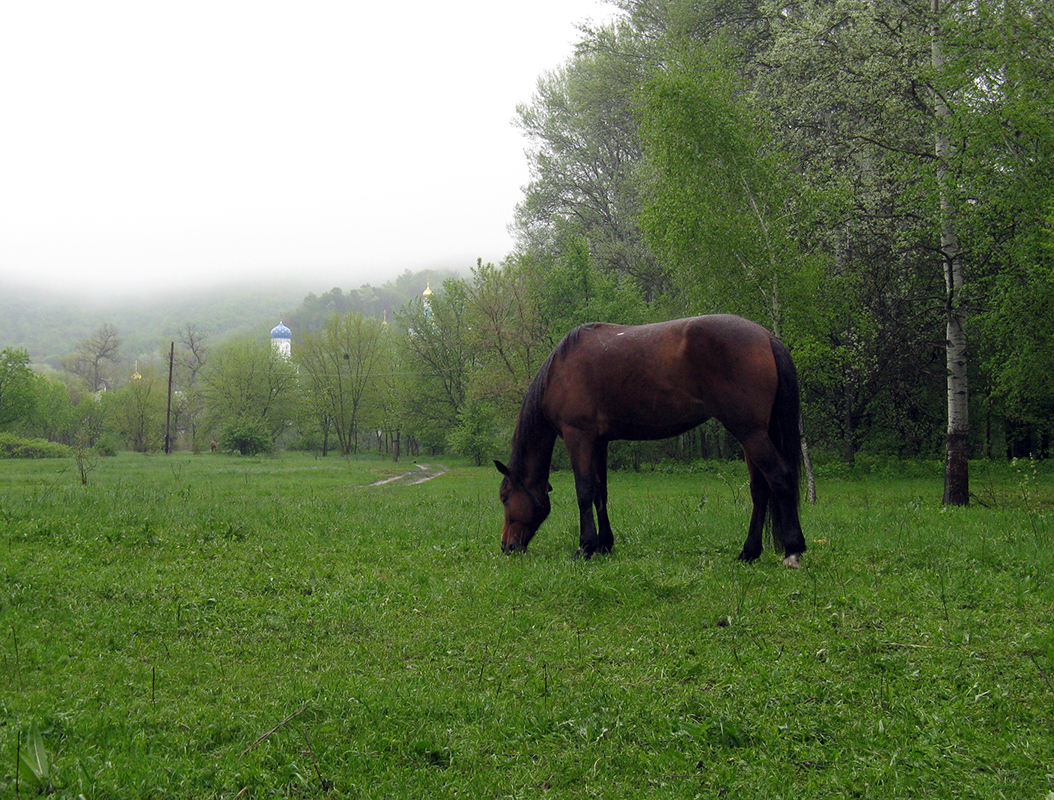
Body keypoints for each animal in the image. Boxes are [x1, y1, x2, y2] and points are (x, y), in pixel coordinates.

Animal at [495, 316, 805, 564]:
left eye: (505, 497)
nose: (506, 546)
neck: (560, 370)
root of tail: (766, 337)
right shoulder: (599, 441)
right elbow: (599, 492)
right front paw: (604, 544)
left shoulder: (578, 436)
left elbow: (583, 491)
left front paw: (585, 547)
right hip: (753, 433)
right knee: (760, 490)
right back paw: (749, 552)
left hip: (750, 432)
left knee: (779, 477)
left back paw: (793, 550)